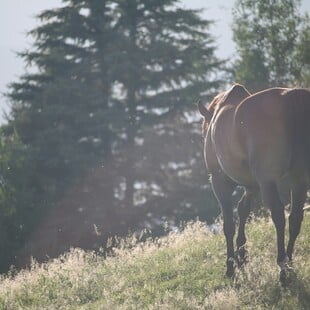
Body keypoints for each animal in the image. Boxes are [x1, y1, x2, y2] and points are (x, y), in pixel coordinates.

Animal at [199, 84, 310, 284]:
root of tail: (289, 96)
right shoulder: (252, 185)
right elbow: (243, 209)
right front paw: (242, 254)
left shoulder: (220, 182)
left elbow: (228, 223)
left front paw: (231, 266)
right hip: (299, 178)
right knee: (295, 217)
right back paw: (289, 264)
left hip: (268, 180)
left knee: (279, 216)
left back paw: (282, 267)